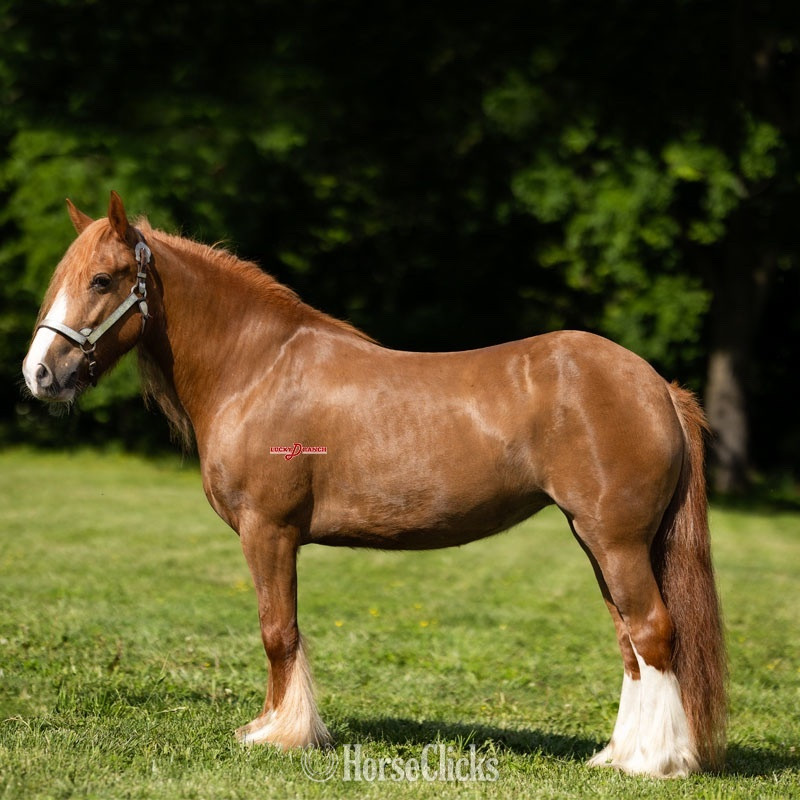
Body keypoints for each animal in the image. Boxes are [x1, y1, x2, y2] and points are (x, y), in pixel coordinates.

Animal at [22, 192, 726, 778]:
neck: (257, 368)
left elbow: (278, 631)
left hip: (617, 541)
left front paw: (279, 735)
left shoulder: (268, 531)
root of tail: (655, 385)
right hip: (597, 541)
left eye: (102, 279)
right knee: (630, 643)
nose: (39, 374)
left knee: (652, 631)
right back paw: (619, 754)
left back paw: (656, 763)